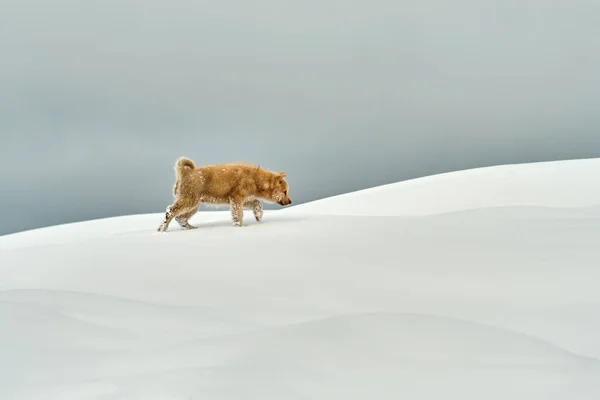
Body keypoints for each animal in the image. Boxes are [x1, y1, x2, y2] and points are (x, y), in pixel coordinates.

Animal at [158, 156, 292, 231]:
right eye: (285, 191)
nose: (290, 201)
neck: (255, 179)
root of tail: (184, 173)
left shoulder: (245, 200)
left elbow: (258, 203)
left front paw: (258, 216)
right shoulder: (236, 198)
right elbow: (238, 214)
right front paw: (240, 227)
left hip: (194, 205)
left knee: (180, 217)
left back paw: (190, 228)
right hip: (189, 200)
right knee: (171, 211)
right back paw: (162, 229)